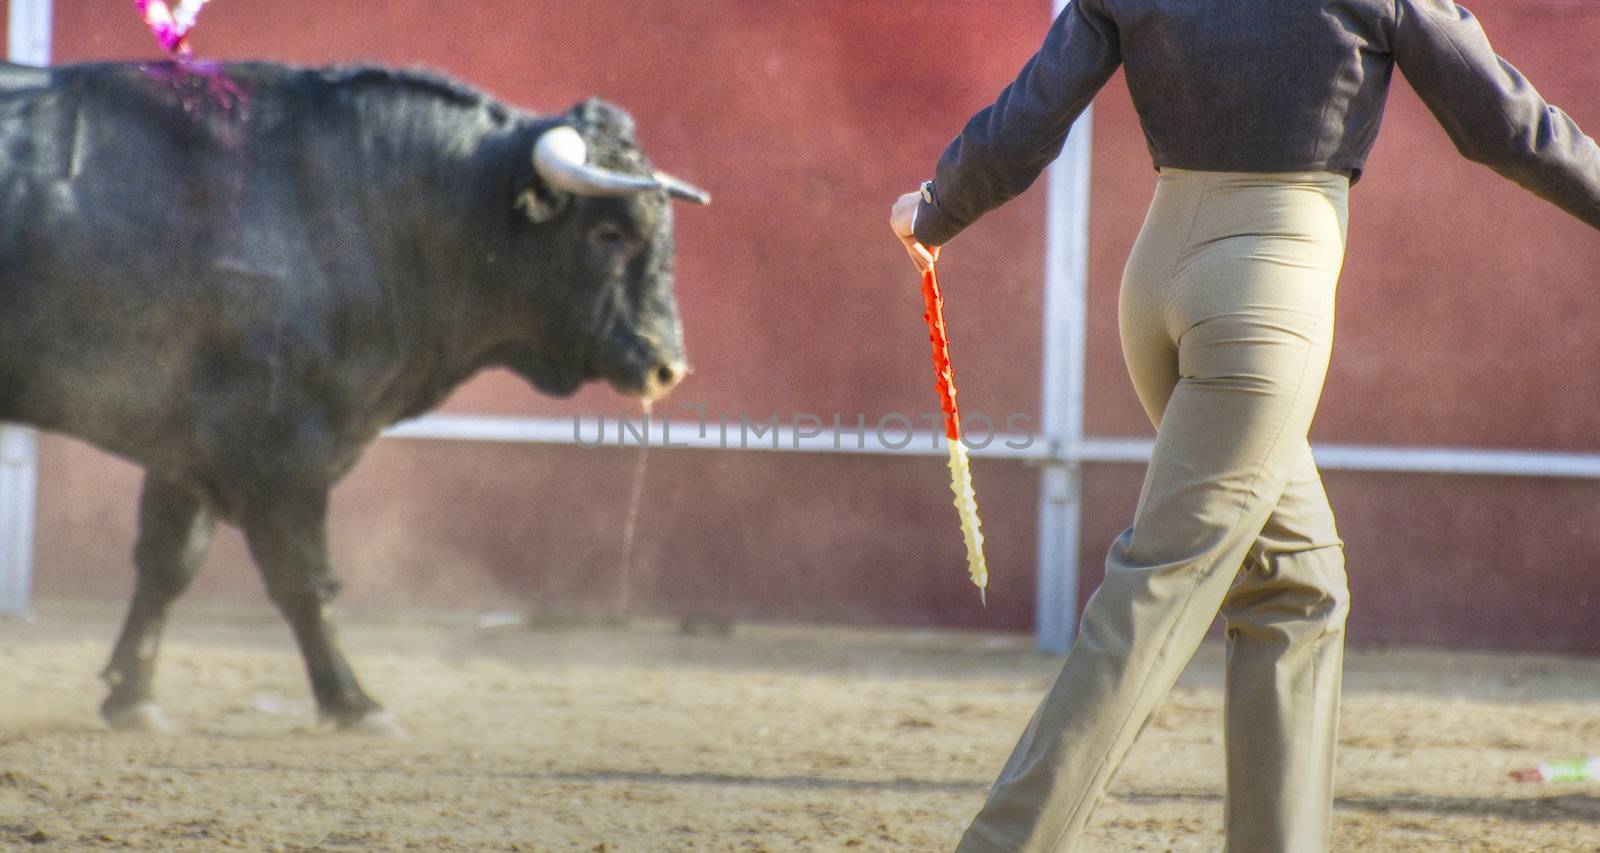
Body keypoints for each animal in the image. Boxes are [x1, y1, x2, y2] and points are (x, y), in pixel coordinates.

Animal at [0, 61, 713, 732]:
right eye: (608, 235)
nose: (667, 368)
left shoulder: (184, 443)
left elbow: (167, 565)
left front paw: (133, 699)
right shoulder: (281, 451)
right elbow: (305, 580)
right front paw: (354, 704)